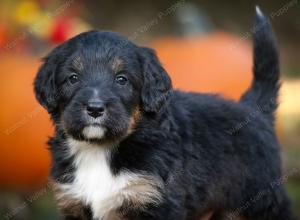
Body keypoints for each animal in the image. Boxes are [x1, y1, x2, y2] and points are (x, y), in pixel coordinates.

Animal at [34, 7, 294, 220]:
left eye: (122, 80)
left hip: (262, 199)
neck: (101, 149)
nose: (95, 108)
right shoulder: (74, 202)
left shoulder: (155, 201)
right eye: (72, 78)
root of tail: (253, 108)